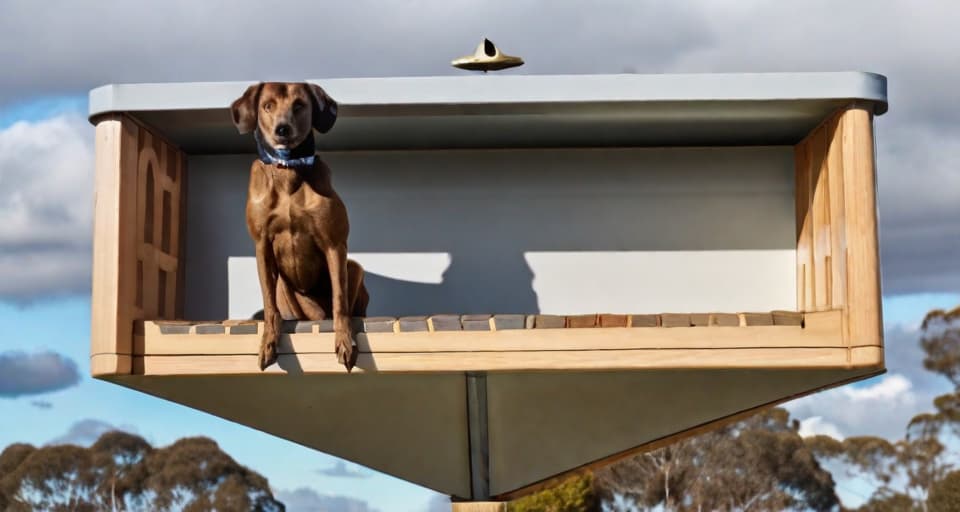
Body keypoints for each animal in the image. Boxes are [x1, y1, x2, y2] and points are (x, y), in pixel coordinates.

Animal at [231, 83, 370, 372]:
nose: (282, 129)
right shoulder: (262, 246)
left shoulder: (335, 245)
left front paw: (344, 341)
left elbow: (339, 300)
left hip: (354, 267)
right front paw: (267, 342)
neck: (288, 170)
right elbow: (269, 306)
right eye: (267, 105)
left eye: (299, 105)